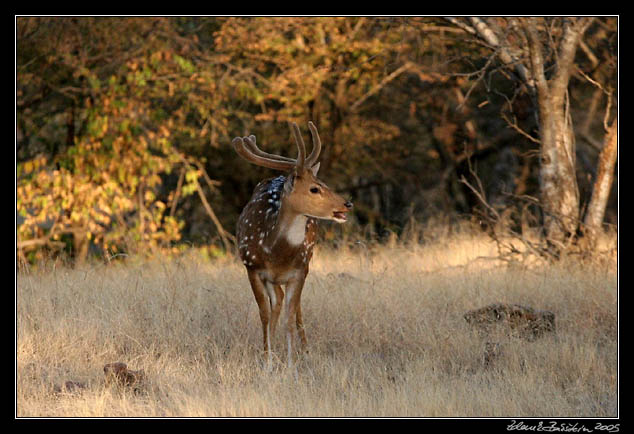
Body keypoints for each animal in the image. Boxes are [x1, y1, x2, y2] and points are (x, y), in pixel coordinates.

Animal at [231, 121, 350, 366]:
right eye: (314, 188)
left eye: (323, 183)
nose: (347, 204)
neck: (276, 252)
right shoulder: (252, 268)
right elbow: (265, 314)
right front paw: (267, 360)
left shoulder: (300, 270)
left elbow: (290, 315)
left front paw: (290, 362)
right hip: (270, 278)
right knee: (277, 303)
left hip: (305, 264)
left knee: (294, 307)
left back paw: (304, 349)